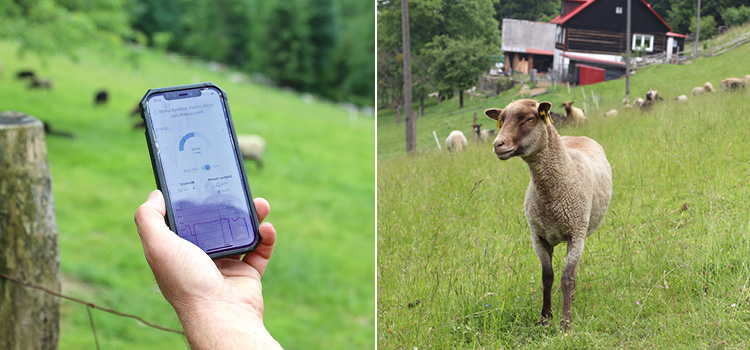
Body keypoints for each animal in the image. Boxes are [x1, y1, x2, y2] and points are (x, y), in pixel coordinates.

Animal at [484, 98, 612, 330]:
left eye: (529, 119)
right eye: (501, 121)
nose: (498, 145)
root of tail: (578, 136)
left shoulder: (576, 234)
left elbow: (566, 278)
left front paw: (566, 323)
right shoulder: (538, 238)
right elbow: (548, 278)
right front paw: (545, 319)